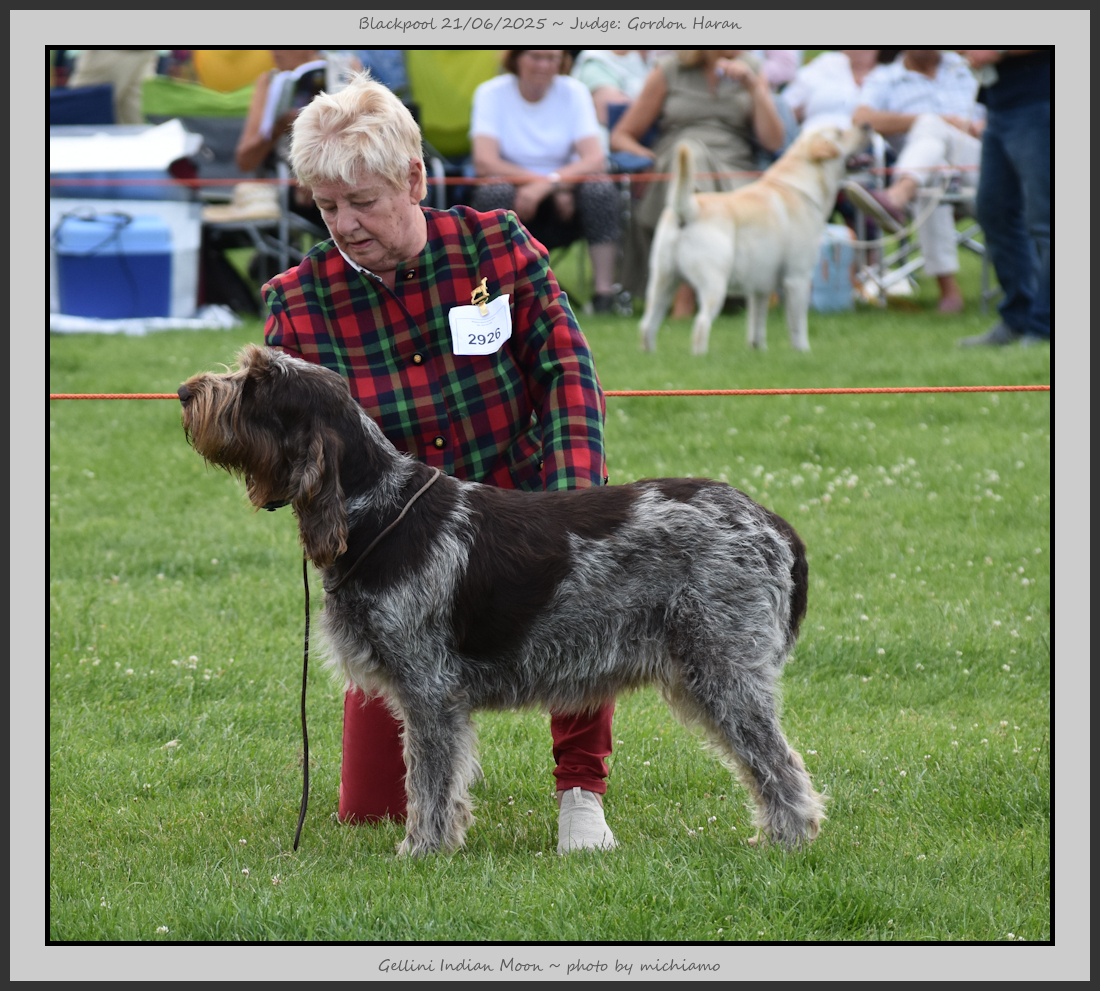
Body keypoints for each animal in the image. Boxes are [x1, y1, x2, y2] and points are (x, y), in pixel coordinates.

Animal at [179, 345, 824, 855]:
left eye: (258, 382)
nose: (185, 392)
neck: (378, 511)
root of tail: (772, 522)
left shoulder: (430, 690)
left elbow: (430, 782)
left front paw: (421, 850)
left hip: (724, 671)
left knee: (780, 765)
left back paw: (787, 840)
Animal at [639, 123, 870, 356]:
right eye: (840, 133)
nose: (867, 125)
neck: (799, 189)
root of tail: (688, 209)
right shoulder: (797, 278)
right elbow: (797, 325)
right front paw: (803, 352)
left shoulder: (760, 288)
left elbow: (756, 325)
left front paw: (758, 352)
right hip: (714, 285)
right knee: (701, 324)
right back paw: (701, 357)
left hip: (662, 283)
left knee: (647, 324)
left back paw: (651, 355)